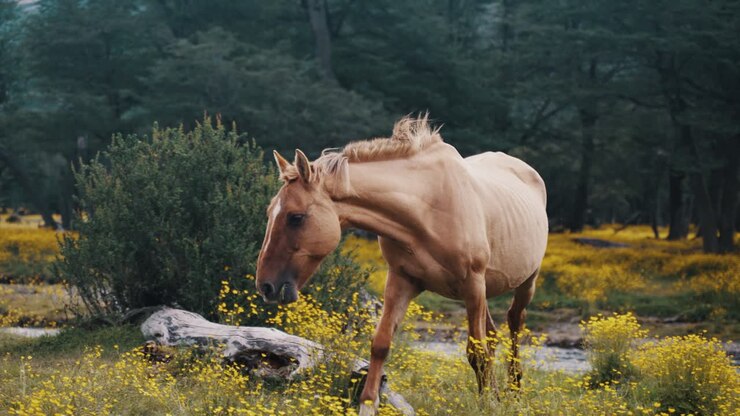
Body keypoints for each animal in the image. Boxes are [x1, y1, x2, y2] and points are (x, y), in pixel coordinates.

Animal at [256, 115, 548, 415]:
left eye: (296, 217)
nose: (265, 285)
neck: (428, 208)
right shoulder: (401, 281)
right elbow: (380, 344)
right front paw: (368, 405)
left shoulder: (472, 284)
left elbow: (476, 352)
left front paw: (487, 404)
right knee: (492, 334)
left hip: (524, 283)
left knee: (514, 322)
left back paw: (514, 391)